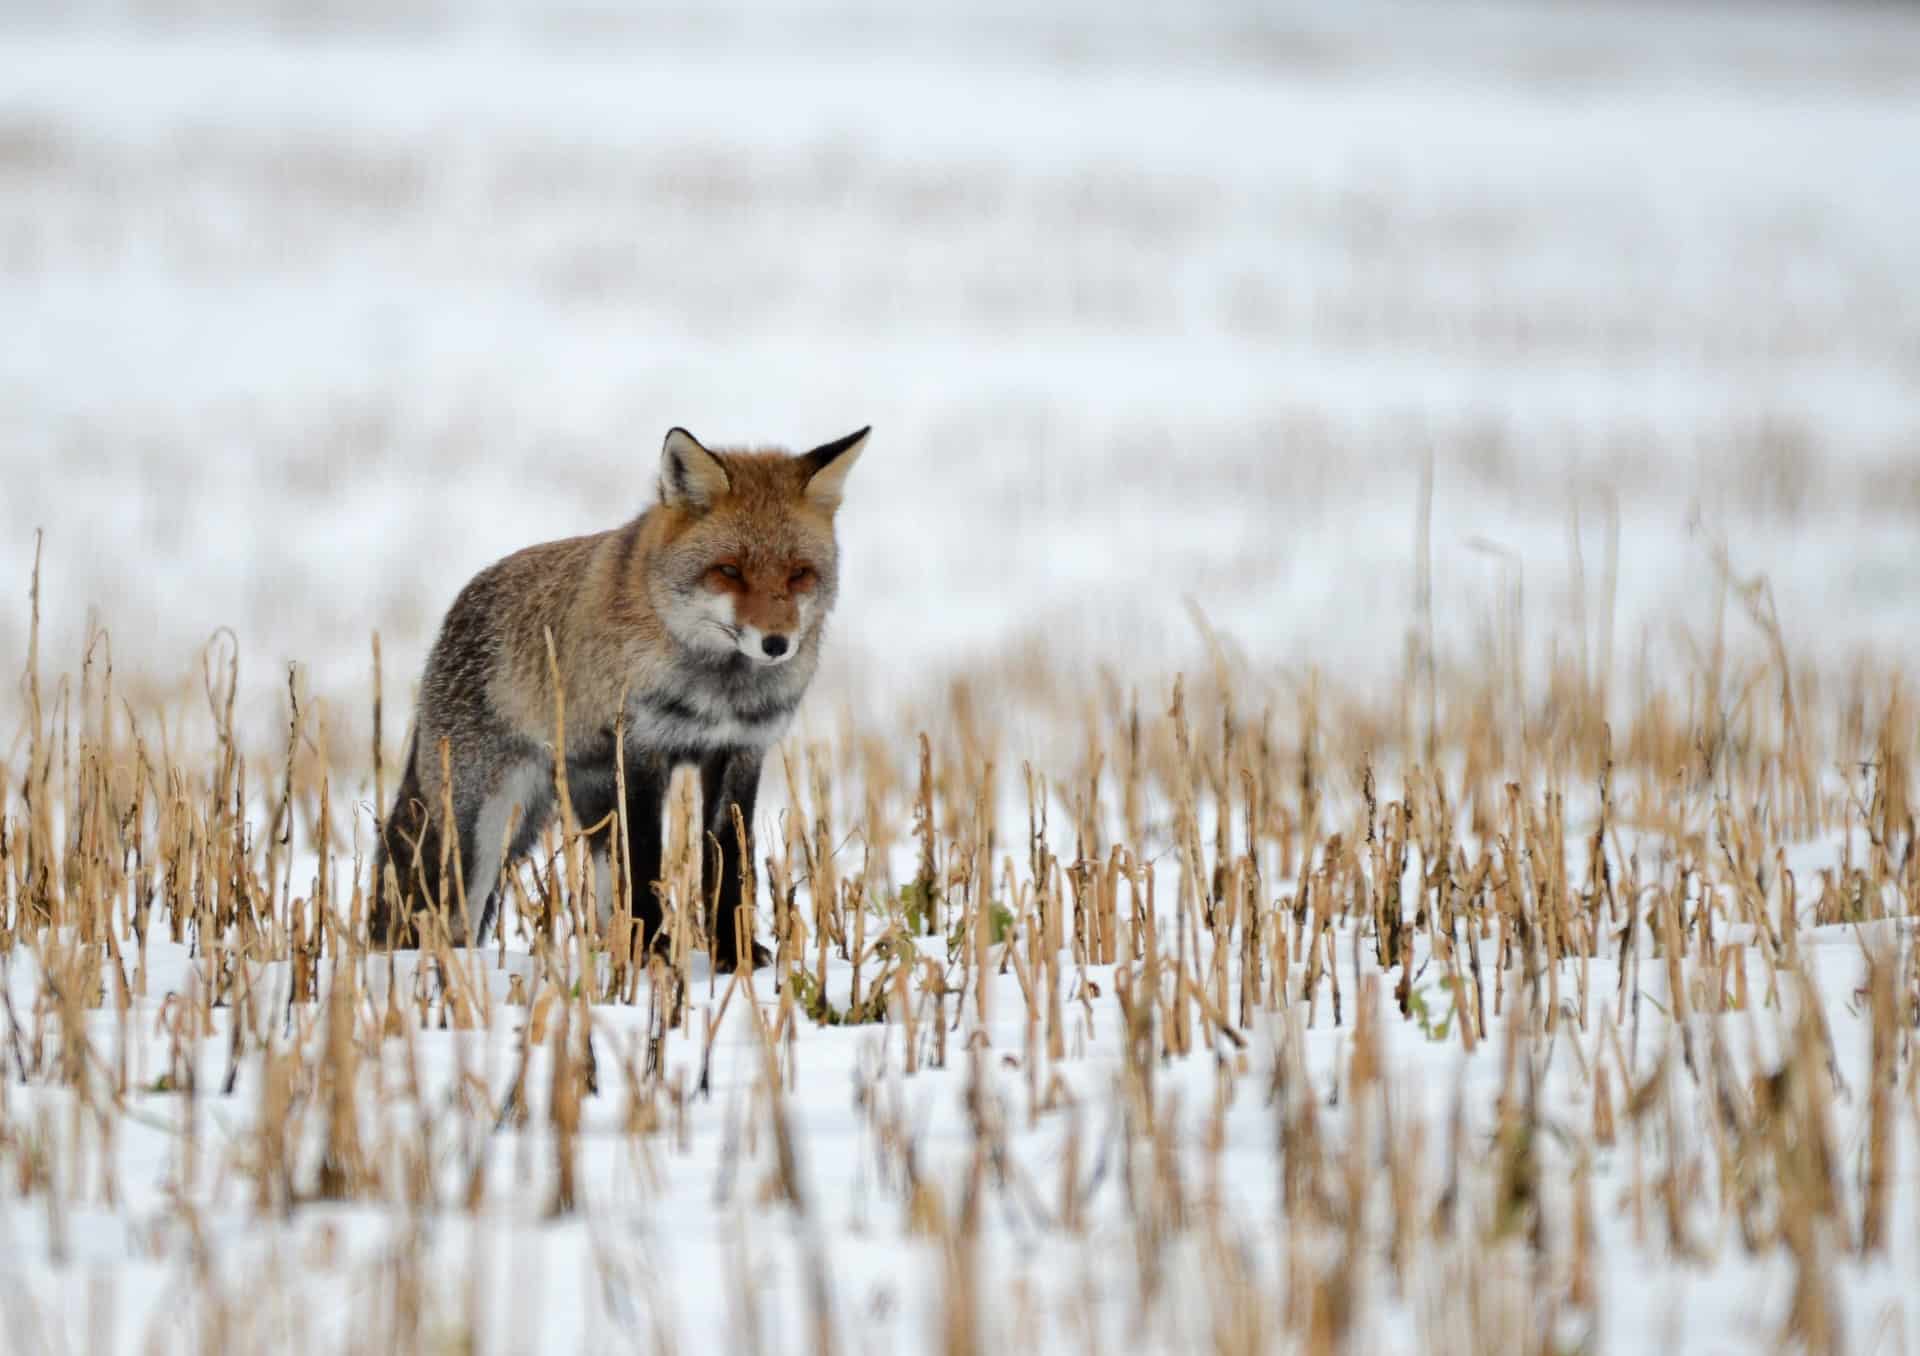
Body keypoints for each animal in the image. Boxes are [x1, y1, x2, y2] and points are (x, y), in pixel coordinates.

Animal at [374, 422, 871, 960]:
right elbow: (646, 860)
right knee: (447, 916)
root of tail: (458, 605)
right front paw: (654, 949)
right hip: (482, 828)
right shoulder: (639, 752)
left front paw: (731, 954)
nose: (776, 644)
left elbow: (728, 864)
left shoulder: (739, 752)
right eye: (729, 571)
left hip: (583, 806)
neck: (719, 690)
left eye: (799, 573)